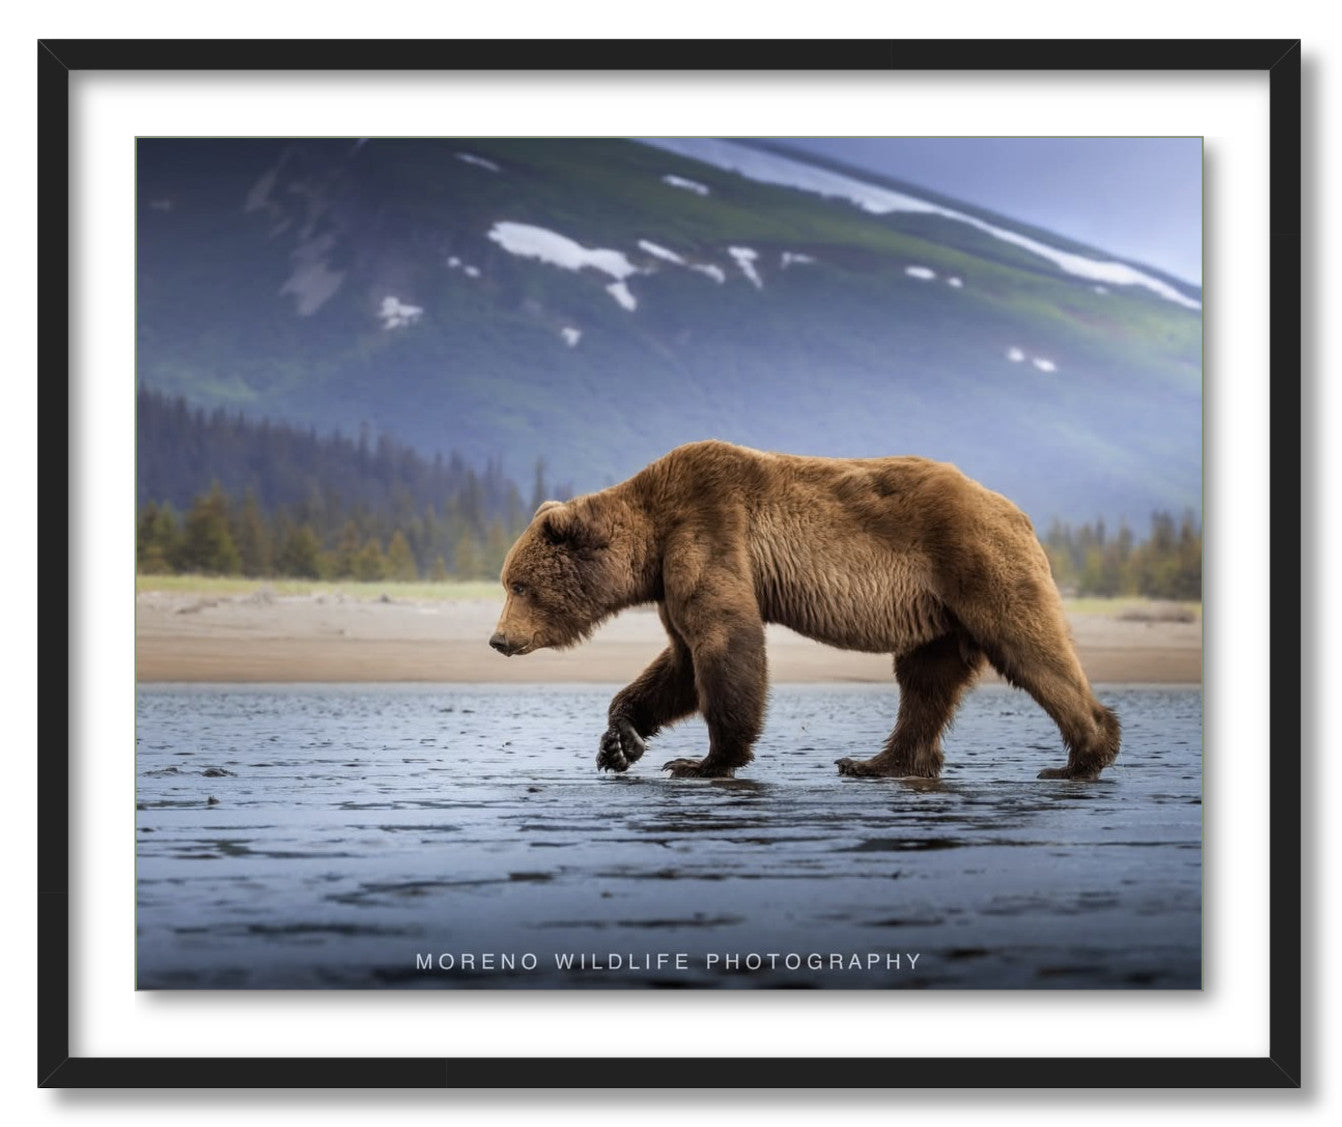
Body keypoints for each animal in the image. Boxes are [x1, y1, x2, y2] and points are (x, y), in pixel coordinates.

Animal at [489, 440, 1120, 781]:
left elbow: (724, 643)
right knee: (925, 681)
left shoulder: (708, 529)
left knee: (1029, 647)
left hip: (976, 565)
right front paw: (620, 742)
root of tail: (1017, 510)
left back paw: (1083, 755)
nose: (497, 640)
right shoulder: (671, 576)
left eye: (518, 585)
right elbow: (680, 661)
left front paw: (704, 760)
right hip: (939, 612)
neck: (651, 535)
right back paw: (877, 762)